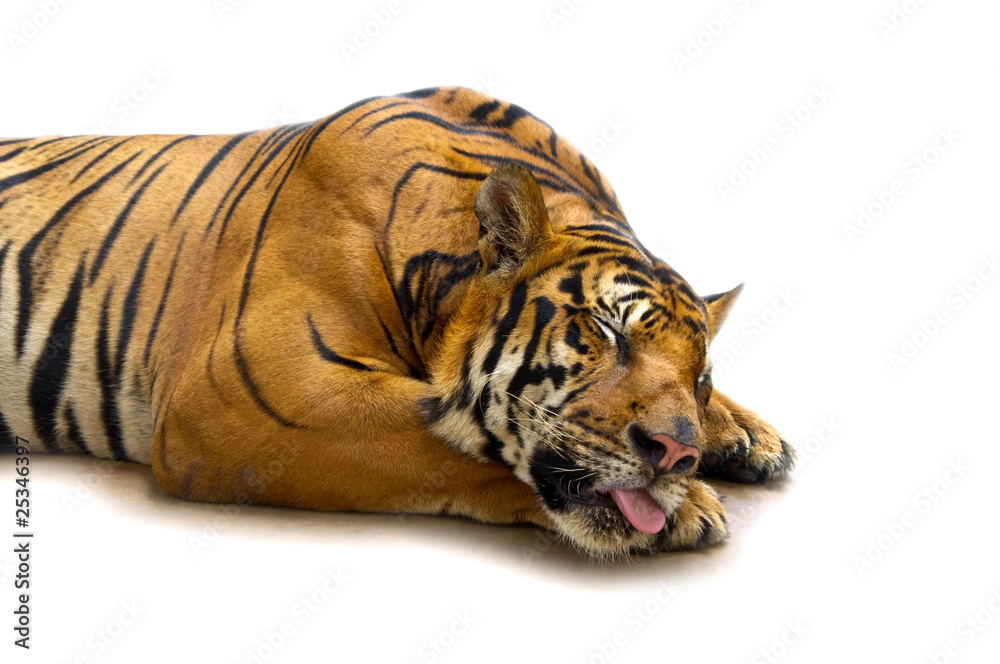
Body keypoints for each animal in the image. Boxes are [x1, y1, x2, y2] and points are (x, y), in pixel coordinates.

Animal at [0, 86, 793, 558]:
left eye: (699, 376)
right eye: (606, 331)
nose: (677, 453)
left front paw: (743, 436)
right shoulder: (247, 397)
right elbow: (447, 440)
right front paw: (692, 504)